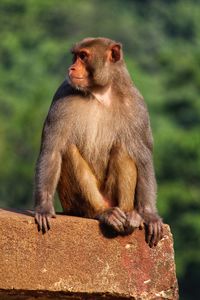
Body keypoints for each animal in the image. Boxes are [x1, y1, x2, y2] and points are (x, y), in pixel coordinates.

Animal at [34, 37, 162, 247]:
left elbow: (143, 157)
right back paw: (102, 213)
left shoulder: (137, 106)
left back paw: (130, 216)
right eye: (76, 56)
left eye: (83, 56)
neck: (101, 93)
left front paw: (149, 214)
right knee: (68, 151)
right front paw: (43, 207)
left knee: (123, 149)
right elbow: (52, 150)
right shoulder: (62, 95)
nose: (71, 68)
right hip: (74, 203)